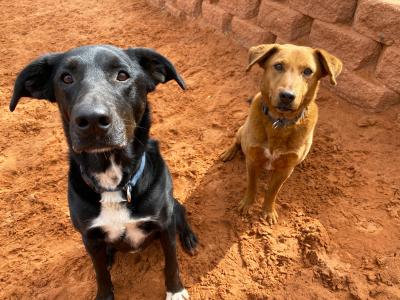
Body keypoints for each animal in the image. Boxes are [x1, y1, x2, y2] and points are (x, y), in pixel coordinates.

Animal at [9, 45, 197, 300]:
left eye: (122, 75)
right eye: (66, 78)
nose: (92, 120)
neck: (114, 184)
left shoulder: (164, 224)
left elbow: (171, 263)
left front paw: (175, 291)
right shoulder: (89, 237)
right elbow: (101, 274)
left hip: (174, 207)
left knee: (182, 215)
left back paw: (189, 239)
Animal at [220, 43, 342, 224]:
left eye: (308, 71)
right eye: (278, 66)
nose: (287, 96)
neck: (279, 122)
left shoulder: (285, 169)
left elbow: (272, 191)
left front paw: (268, 211)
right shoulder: (252, 160)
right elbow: (252, 185)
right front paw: (247, 205)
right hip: (242, 131)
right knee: (236, 141)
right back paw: (228, 152)